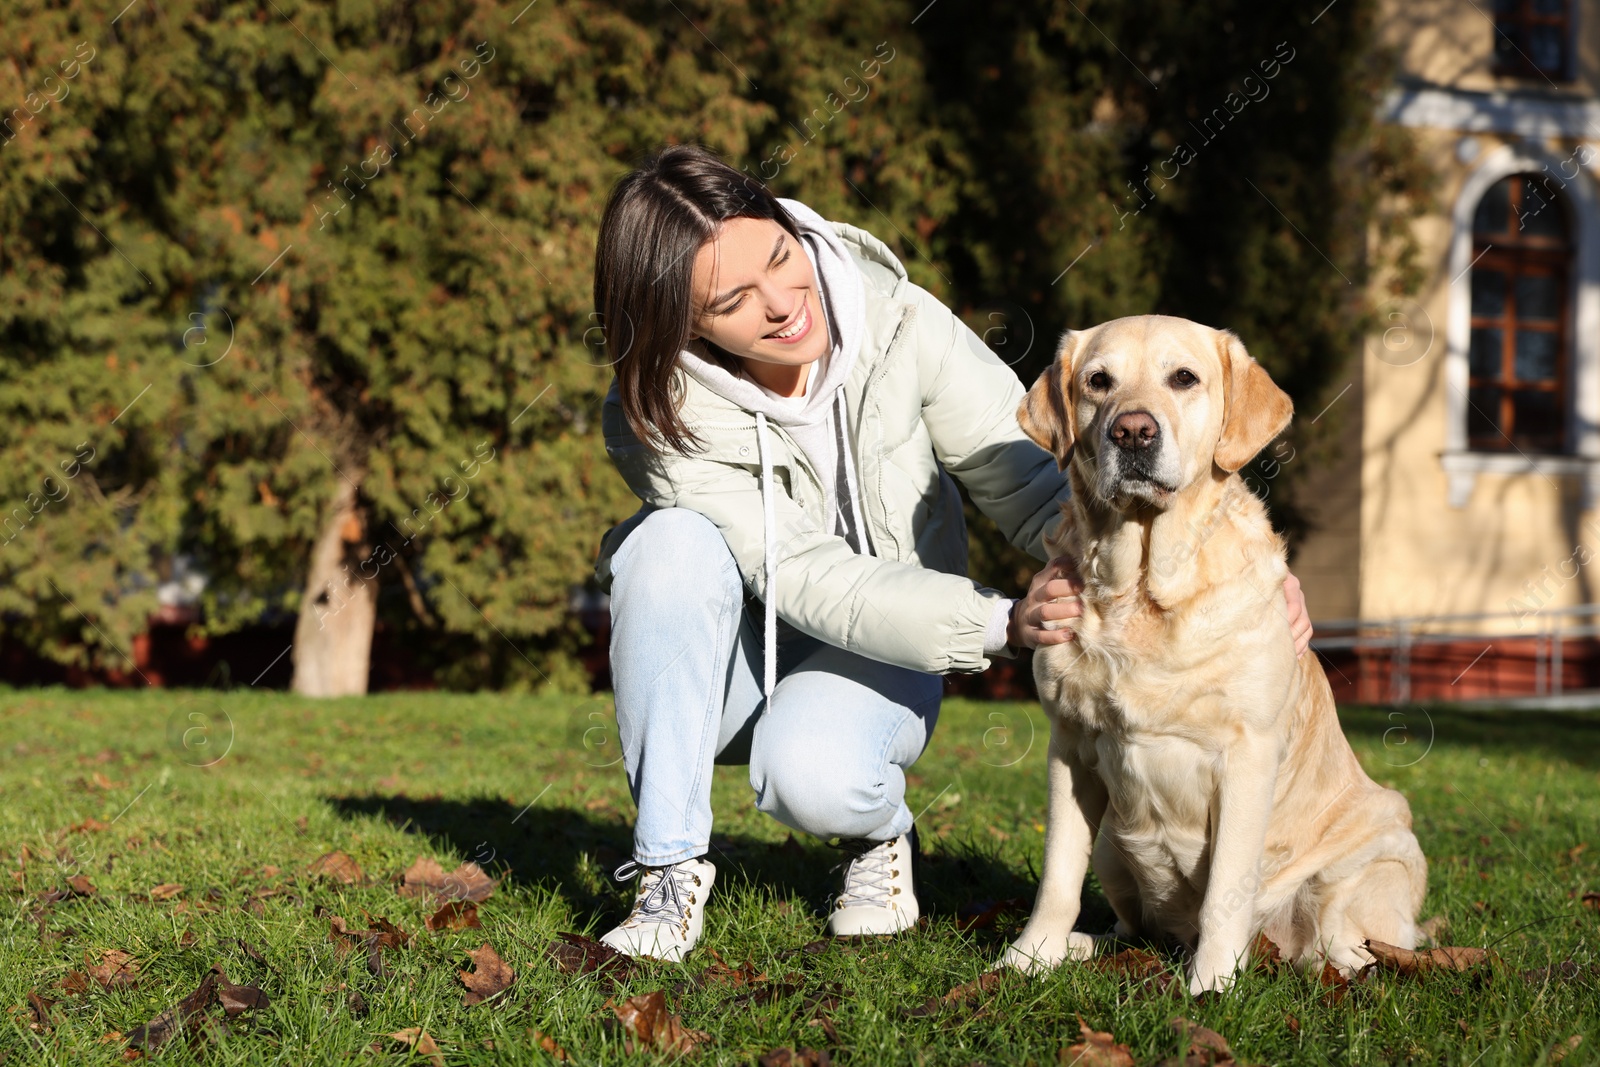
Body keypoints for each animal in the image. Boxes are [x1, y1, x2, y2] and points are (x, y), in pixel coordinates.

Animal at [998, 315, 1427, 991]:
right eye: (1098, 382)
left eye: (1184, 378)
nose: (1133, 430)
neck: (1143, 586)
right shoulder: (1070, 747)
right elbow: (1058, 877)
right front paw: (1028, 957)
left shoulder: (1247, 756)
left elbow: (1227, 886)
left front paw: (1212, 986)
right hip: (1114, 845)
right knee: (1130, 926)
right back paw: (1084, 946)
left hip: (1382, 849)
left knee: (1343, 938)